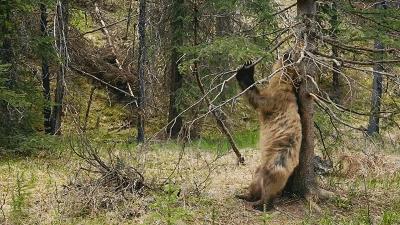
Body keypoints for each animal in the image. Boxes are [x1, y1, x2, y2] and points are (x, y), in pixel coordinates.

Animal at [236, 56, 302, 211]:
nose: (287, 54)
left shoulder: (275, 99)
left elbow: (258, 100)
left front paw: (245, 70)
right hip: (262, 168)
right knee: (256, 180)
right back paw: (244, 195)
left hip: (277, 162)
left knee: (270, 184)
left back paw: (260, 204)